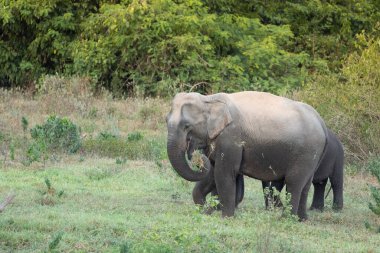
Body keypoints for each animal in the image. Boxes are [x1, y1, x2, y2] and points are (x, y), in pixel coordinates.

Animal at [168, 92, 328, 220]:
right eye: (165, 120)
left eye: (187, 126)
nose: (195, 154)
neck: (209, 99)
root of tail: (322, 122)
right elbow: (212, 173)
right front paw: (206, 211)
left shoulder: (230, 138)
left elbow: (223, 173)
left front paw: (226, 218)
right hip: (313, 156)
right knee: (305, 184)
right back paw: (302, 219)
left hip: (306, 152)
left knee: (294, 183)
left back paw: (285, 219)